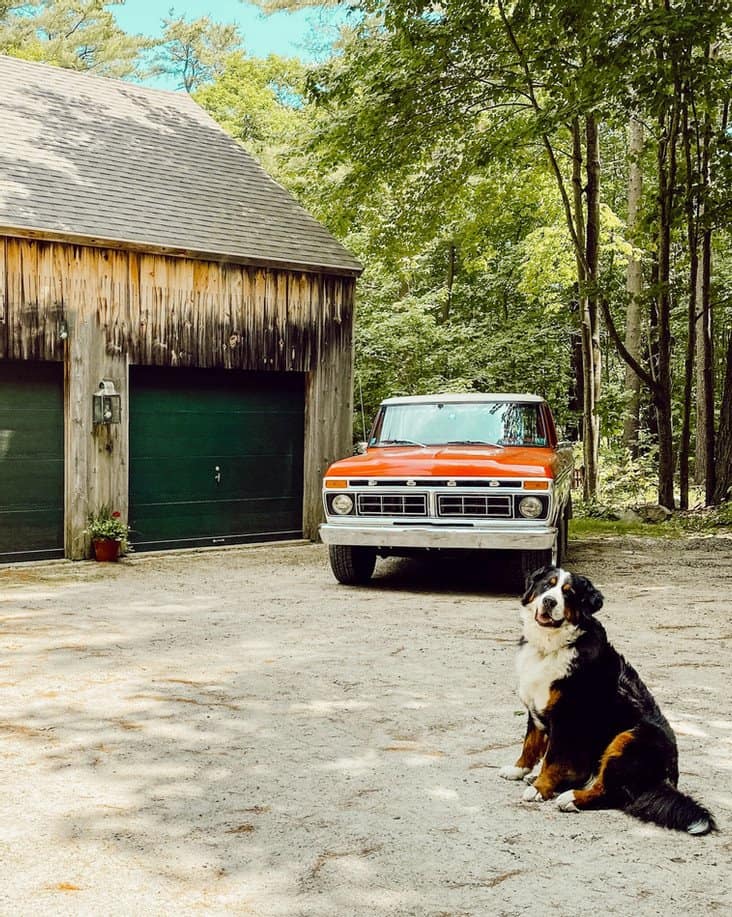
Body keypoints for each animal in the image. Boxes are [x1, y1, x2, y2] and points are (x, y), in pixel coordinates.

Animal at [498, 560, 716, 832]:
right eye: (547, 585)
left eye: (568, 593)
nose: (549, 601)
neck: (550, 647)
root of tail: (667, 778)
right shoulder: (536, 708)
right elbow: (530, 744)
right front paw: (518, 770)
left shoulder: (566, 718)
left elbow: (552, 758)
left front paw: (540, 788)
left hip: (627, 738)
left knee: (613, 792)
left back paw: (571, 798)